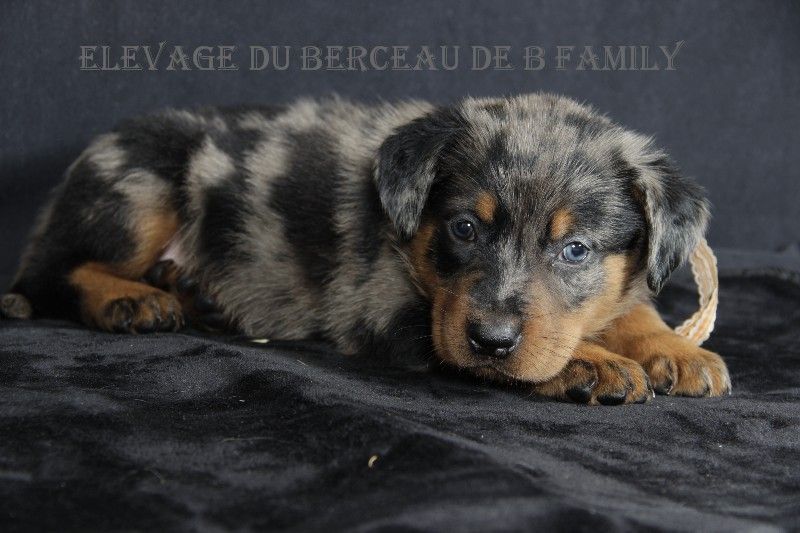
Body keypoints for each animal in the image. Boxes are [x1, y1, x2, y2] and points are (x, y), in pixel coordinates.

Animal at [1, 93, 731, 405]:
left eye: (576, 250)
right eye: (464, 229)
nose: (492, 339)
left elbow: (632, 307)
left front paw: (676, 349)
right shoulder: (386, 309)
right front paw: (594, 362)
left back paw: (193, 291)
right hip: (141, 186)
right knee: (51, 273)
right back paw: (133, 299)